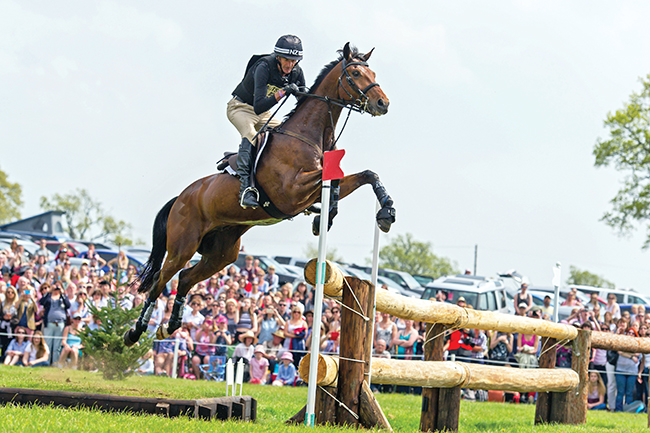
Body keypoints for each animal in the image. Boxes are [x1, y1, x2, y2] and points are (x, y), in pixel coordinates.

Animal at [122, 42, 394, 346]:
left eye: (372, 72)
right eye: (355, 73)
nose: (383, 104)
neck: (309, 136)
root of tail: (181, 197)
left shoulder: (316, 186)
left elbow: (364, 176)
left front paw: (384, 213)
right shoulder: (292, 193)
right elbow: (332, 181)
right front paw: (327, 217)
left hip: (222, 253)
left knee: (185, 277)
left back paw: (170, 326)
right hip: (183, 245)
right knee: (160, 280)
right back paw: (135, 332)